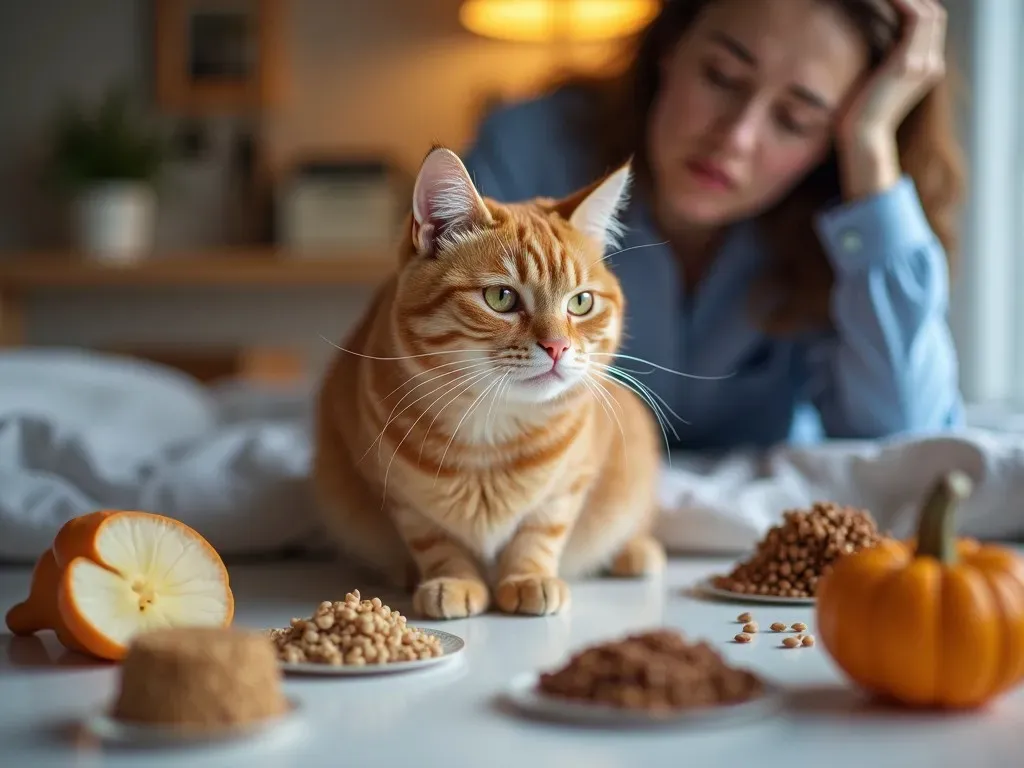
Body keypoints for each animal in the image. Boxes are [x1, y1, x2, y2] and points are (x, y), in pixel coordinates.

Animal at [311, 147, 663, 622]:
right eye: (501, 298)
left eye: (581, 302)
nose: (557, 346)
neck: (490, 429)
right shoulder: (401, 496)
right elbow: (435, 540)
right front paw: (454, 581)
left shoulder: (570, 483)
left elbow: (540, 532)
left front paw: (529, 578)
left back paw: (635, 551)